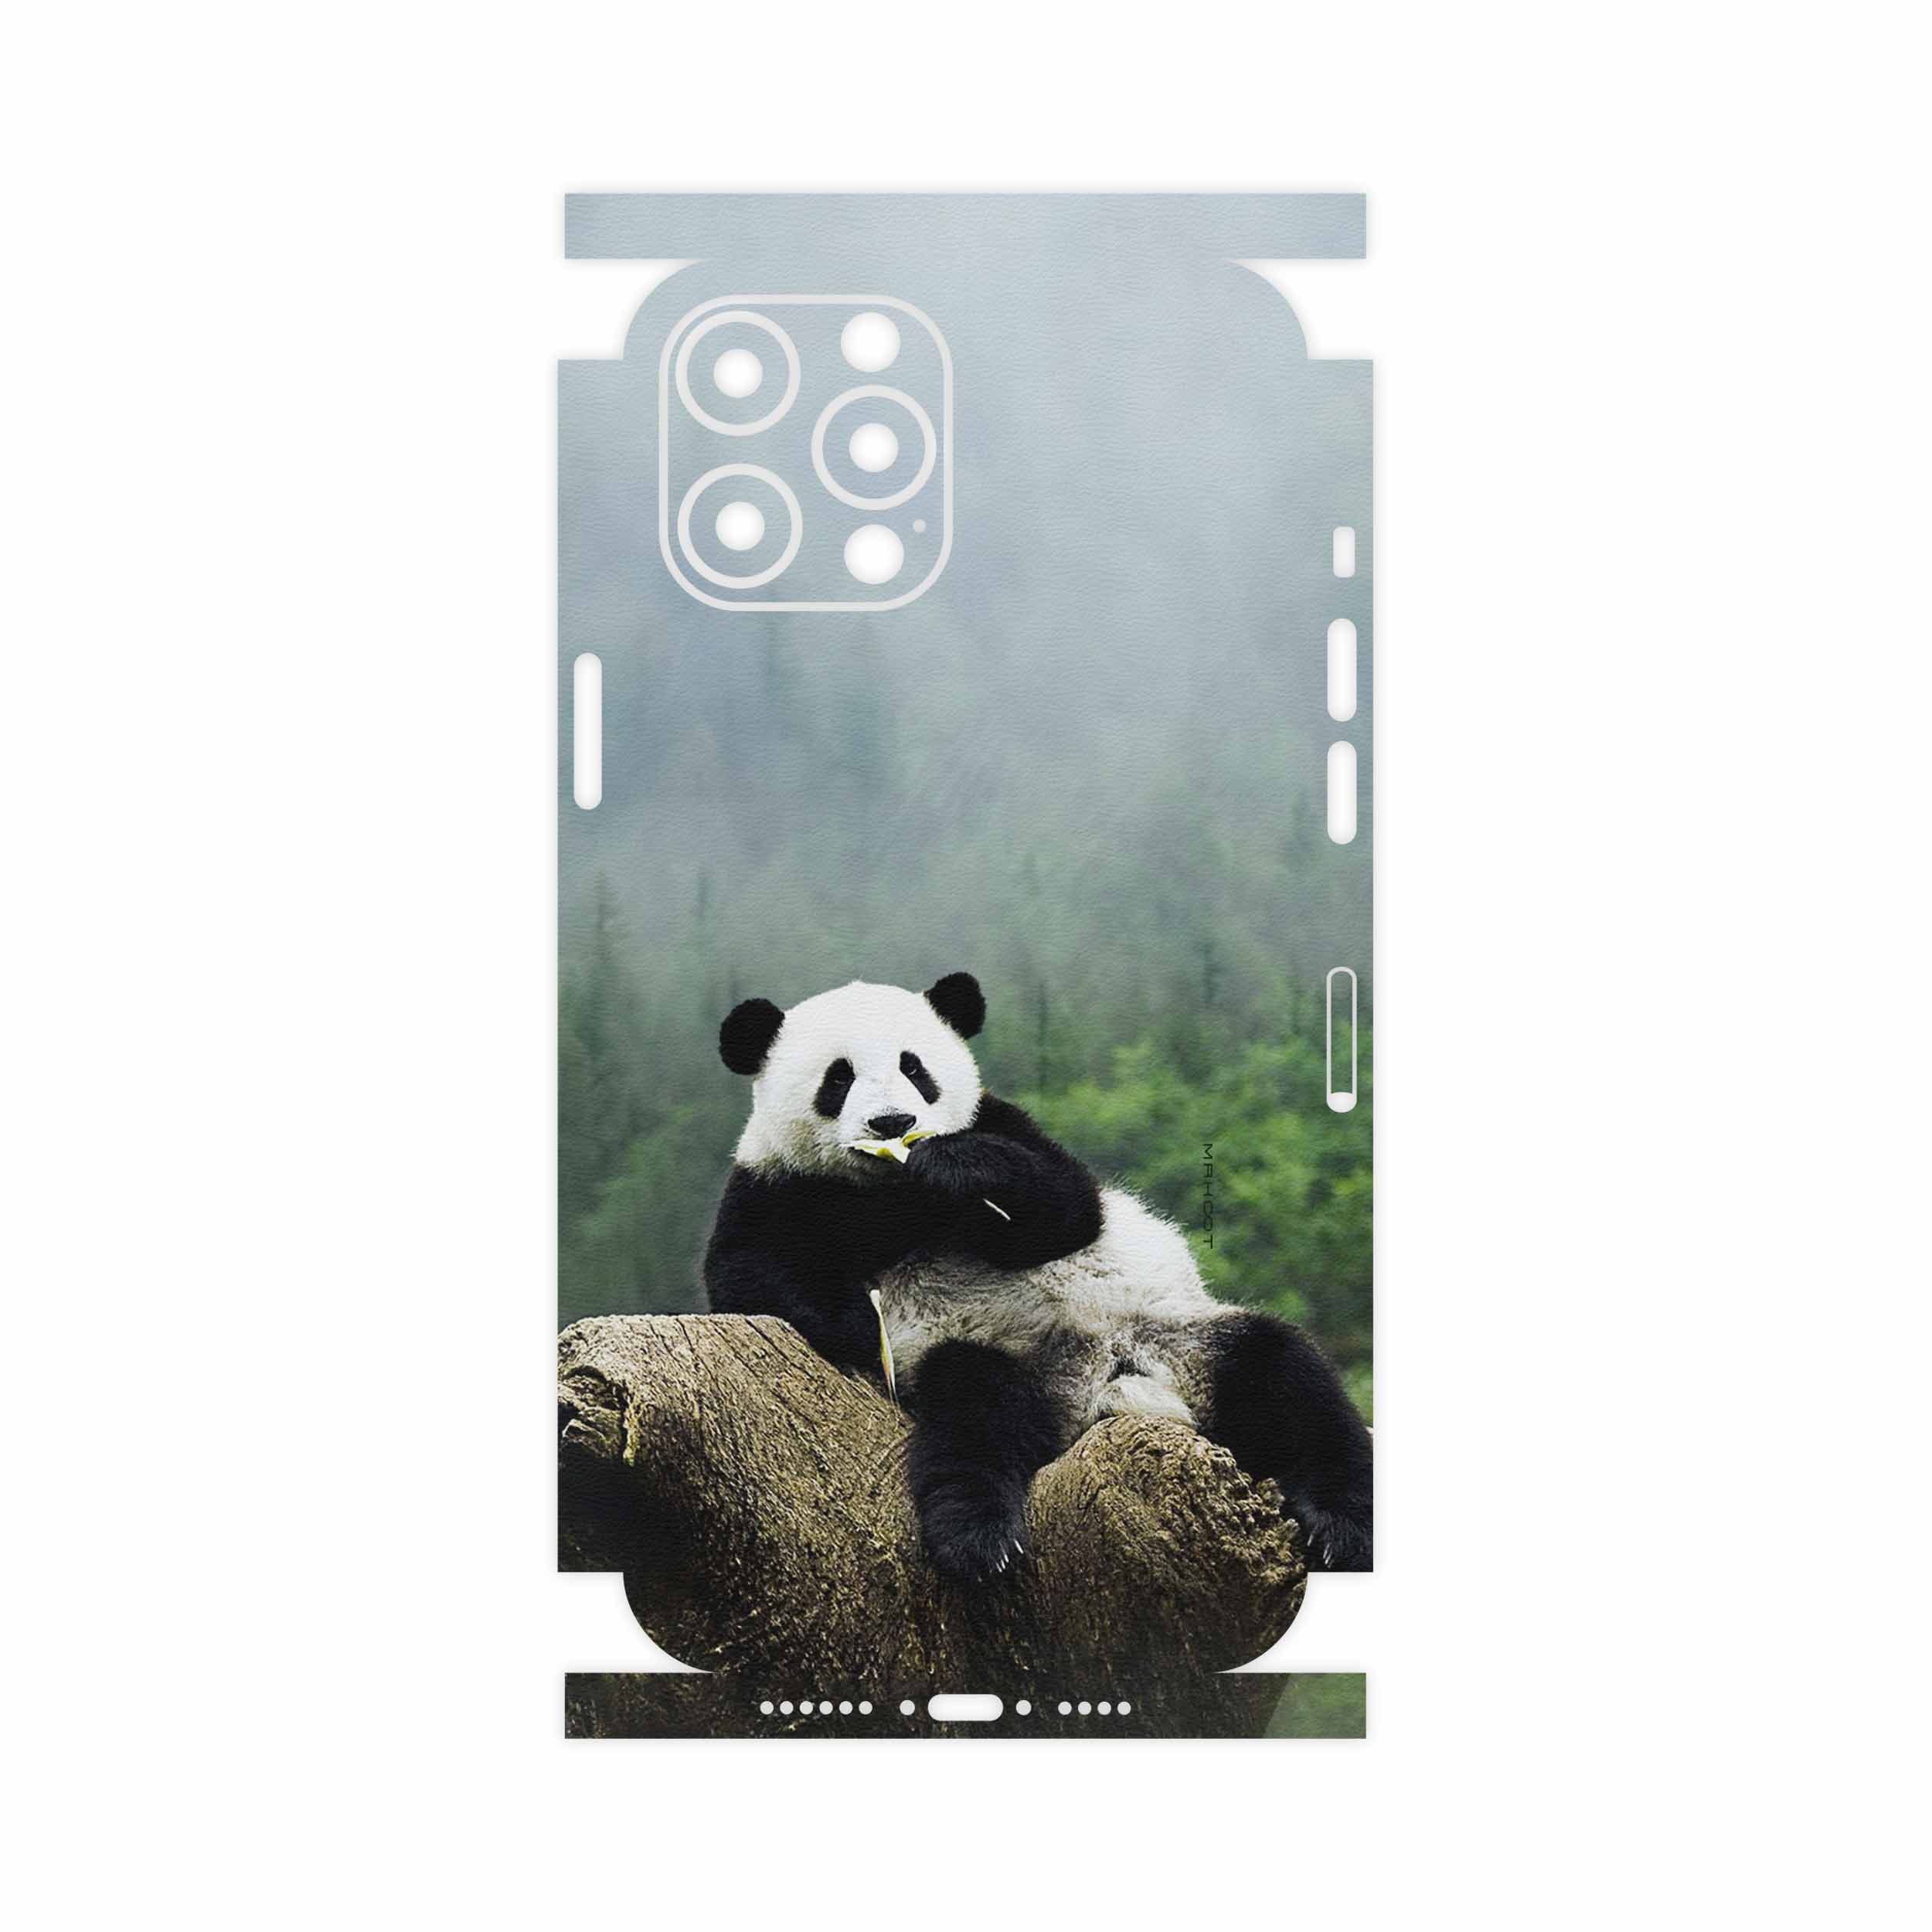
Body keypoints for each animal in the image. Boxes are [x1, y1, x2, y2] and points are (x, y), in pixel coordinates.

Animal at [703, 972, 1373, 1580]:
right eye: (838, 1078)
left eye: (915, 1068)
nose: (893, 1123)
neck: (891, 1193)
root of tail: (1109, 1387)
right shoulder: (775, 1185)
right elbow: (748, 1274)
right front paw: (859, 1323)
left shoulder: (1002, 1123)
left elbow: (1068, 1208)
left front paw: (954, 1166)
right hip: (1001, 1360)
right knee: (973, 1417)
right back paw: (979, 1539)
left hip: (1185, 1337)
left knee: (1288, 1378)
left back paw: (1340, 1527)